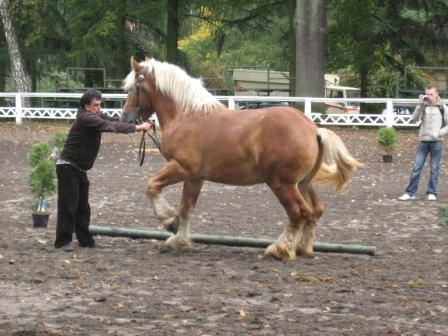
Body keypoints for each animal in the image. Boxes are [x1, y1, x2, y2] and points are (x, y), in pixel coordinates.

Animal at [121, 57, 362, 262]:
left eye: (133, 88)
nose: (126, 118)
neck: (187, 115)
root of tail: (313, 129)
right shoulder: (195, 177)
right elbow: (186, 207)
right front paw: (179, 238)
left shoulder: (181, 167)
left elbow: (152, 186)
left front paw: (169, 220)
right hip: (302, 183)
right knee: (314, 211)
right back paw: (304, 248)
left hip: (282, 184)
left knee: (298, 213)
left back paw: (281, 249)